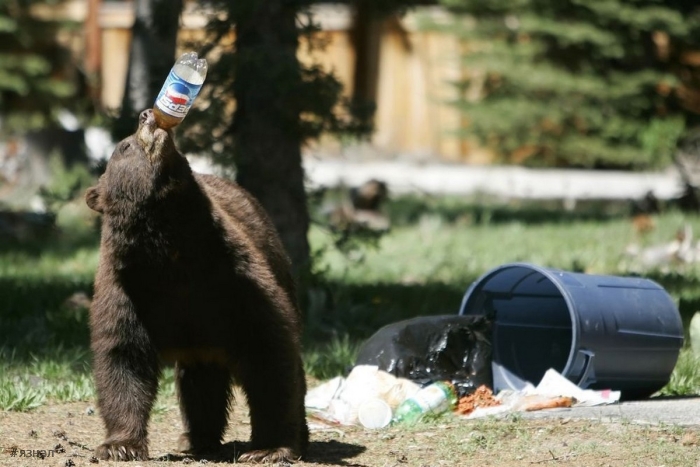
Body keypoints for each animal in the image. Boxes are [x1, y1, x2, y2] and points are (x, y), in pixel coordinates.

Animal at [85, 109, 308, 464]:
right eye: (125, 146)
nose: (146, 115)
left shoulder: (233, 279)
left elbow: (269, 352)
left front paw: (268, 449)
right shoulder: (127, 289)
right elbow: (122, 357)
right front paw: (119, 445)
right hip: (200, 343)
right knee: (199, 381)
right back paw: (195, 438)